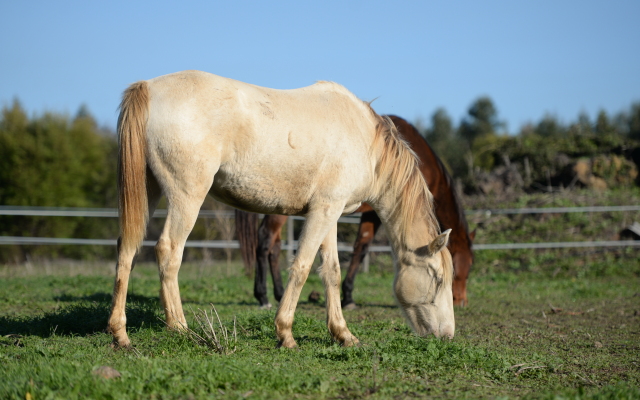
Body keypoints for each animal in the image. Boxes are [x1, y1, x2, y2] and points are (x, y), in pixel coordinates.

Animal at [236, 115, 476, 310]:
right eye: (459, 268)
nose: (461, 301)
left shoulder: (371, 214)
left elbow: (361, 245)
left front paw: (348, 296)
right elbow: (362, 249)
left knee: (274, 247)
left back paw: (277, 294)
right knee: (265, 241)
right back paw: (263, 297)